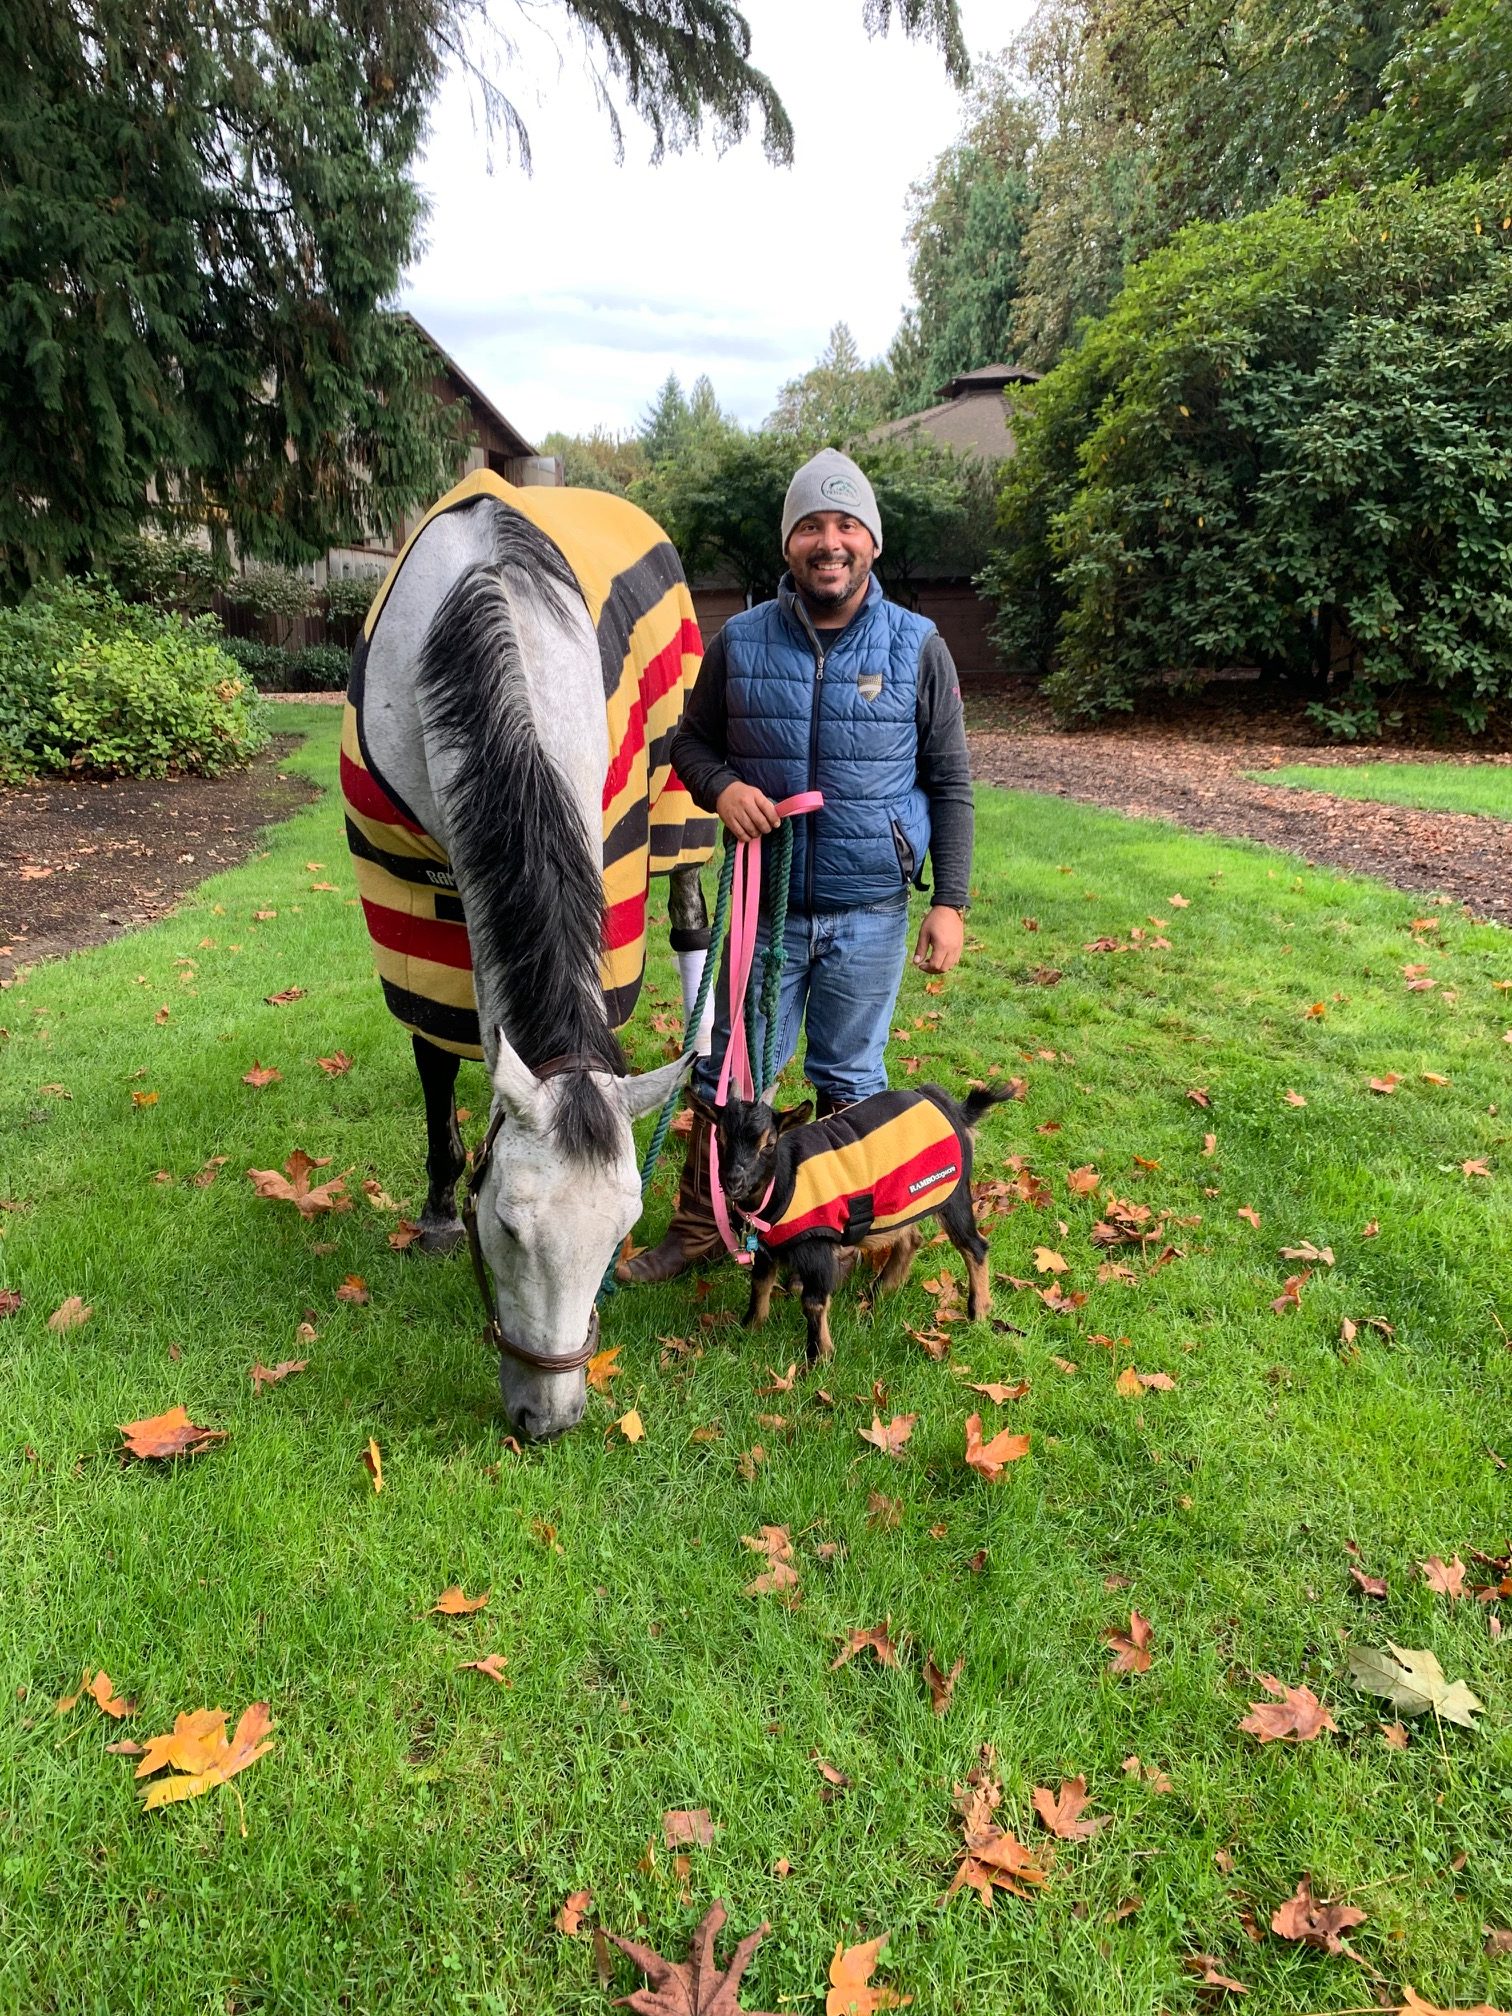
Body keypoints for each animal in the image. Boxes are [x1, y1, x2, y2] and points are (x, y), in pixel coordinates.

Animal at [342, 471, 717, 1440]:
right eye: (505, 1227)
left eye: (622, 1234)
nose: (549, 1419)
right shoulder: (398, 882)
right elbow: (435, 1049)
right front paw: (438, 1208)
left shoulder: (608, 856)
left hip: (681, 800)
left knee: (693, 922)